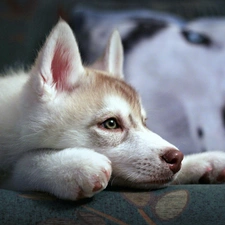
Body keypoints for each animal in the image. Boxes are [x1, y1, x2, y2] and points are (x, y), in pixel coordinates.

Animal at [0, 20, 225, 200]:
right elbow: (23, 165)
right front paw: (71, 166)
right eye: (111, 123)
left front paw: (201, 161)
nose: (176, 158)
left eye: (145, 122)